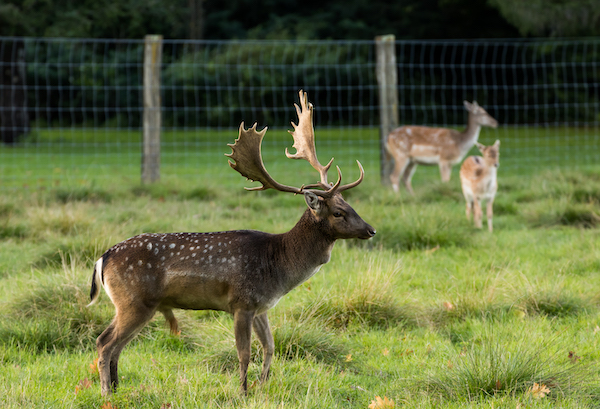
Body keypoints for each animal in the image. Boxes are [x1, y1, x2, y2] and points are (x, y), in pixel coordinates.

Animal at [87, 90, 376, 396]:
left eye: (350, 204)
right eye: (338, 212)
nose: (371, 230)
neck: (278, 264)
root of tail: (102, 259)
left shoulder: (261, 306)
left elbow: (270, 347)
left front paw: (262, 386)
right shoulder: (241, 302)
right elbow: (244, 353)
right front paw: (243, 392)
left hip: (135, 304)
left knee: (116, 346)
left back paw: (117, 388)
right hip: (134, 301)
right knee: (104, 342)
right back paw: (106, 392)